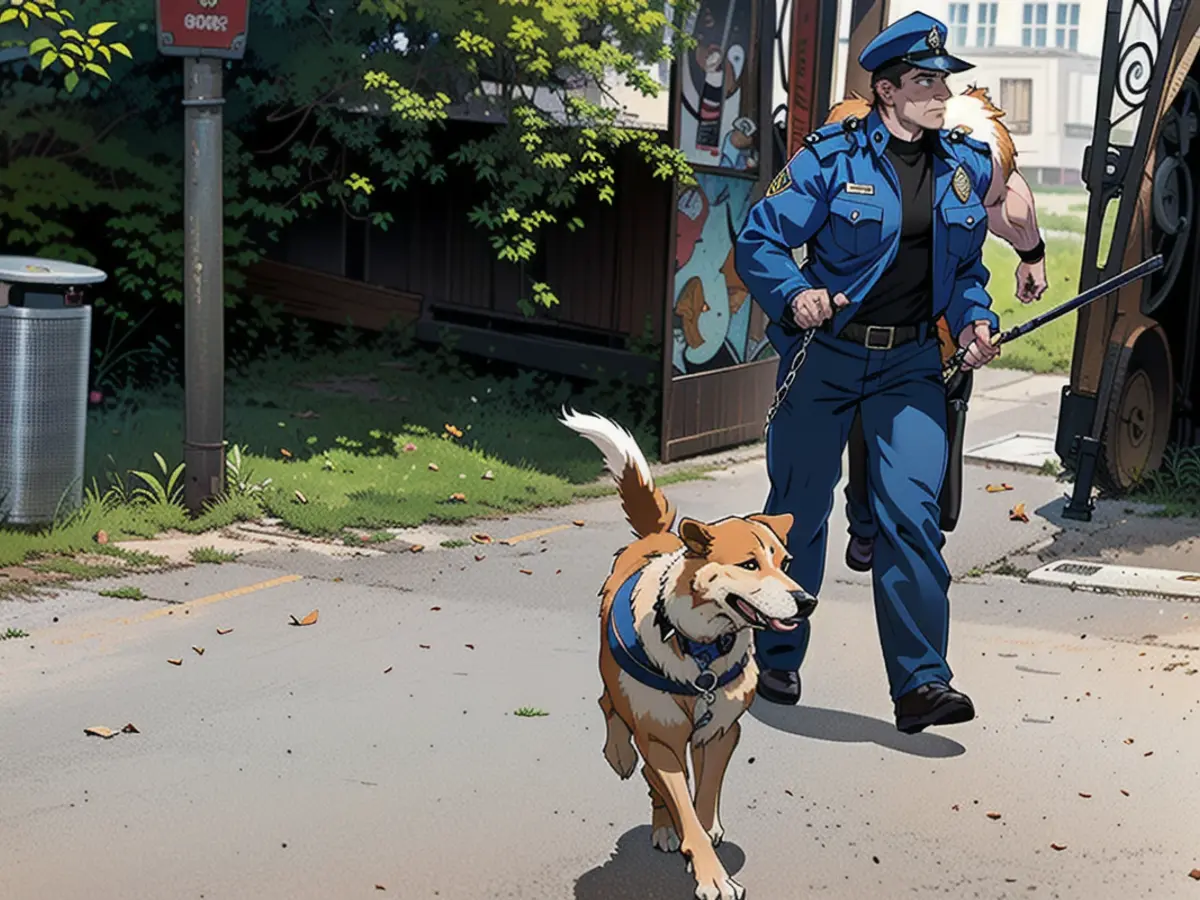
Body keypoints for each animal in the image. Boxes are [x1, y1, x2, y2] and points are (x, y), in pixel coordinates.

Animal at [559, 410, 820, 900]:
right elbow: (680, 799)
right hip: (616, 683)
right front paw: (713, 876)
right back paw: (622, 759)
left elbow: (701, 801)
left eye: (787, 563)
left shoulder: (721, 733)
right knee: (609, 707)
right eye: (750, 565)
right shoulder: (659, 738)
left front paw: (702, 839)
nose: (806, 602)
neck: (700, 650)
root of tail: (657, 537)